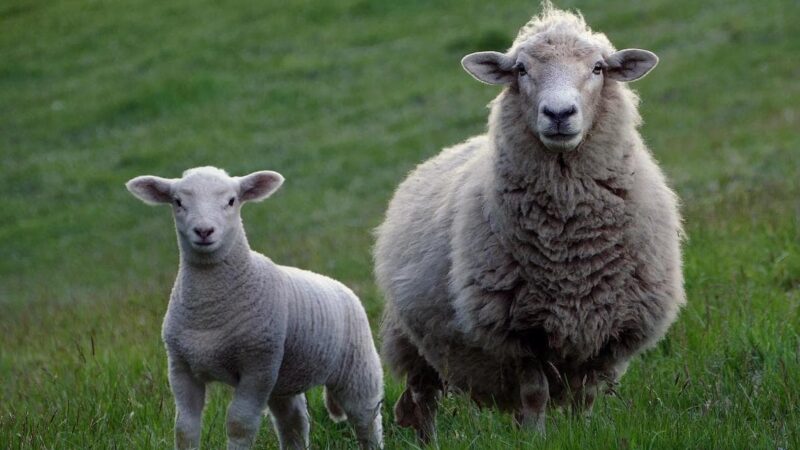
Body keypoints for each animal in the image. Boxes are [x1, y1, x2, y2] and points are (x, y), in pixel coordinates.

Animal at [126, 166, 383, 450]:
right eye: (178, 202)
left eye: (231, 201)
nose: (204, 231)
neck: (208, 311)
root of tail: (341, 287)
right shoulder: (180, 367)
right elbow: (184, 428)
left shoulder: (257, 365)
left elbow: (239, 423)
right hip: (283, 379)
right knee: (293, 422)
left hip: (357, 368)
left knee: (366, 418)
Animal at [374, 2, 685, 442]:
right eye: (521, 69)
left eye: (598, 68)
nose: (558, 113)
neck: (570, 244)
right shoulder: (519, 332)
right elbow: (535, 394)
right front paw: (537, 439)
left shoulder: (609, 330)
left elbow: (586, 396)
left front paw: (581, 433)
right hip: (412, 342)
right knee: (423, 400)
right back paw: (429, 442)